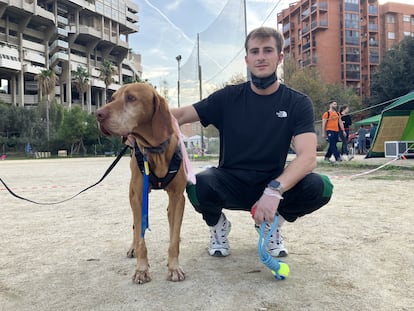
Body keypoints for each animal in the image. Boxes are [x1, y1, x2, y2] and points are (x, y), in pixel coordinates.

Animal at [95, 83, 186, 286]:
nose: (98, 114)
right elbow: (141, 238)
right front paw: (141, 270)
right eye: (112, 98)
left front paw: (174, 267)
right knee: (136, 229)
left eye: (131, 98)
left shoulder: (178, 197)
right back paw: (133, 248)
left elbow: (174, 239)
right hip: (132, 197)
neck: (156, 150)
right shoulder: (138, 198)